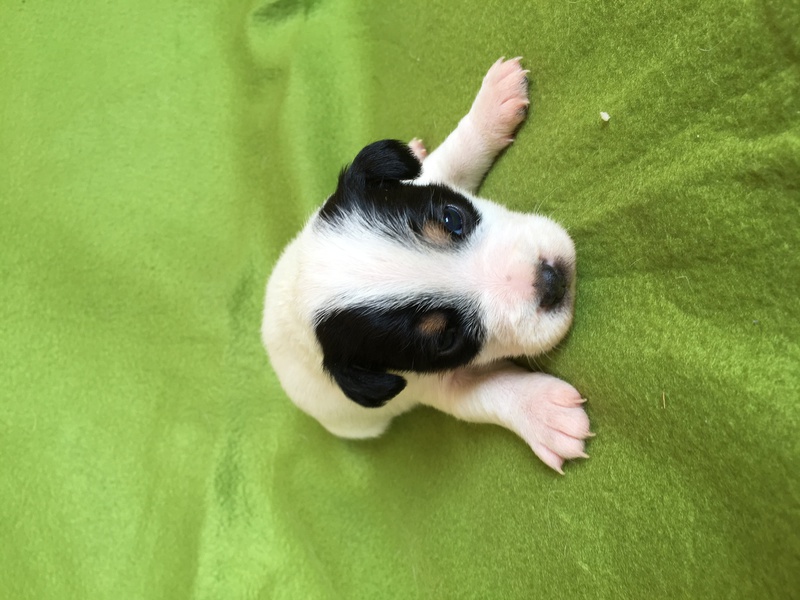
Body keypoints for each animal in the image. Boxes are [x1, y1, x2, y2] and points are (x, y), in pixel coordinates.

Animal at [262, 58, 591, 473]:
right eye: (446, 340)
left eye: (453, 218)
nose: (552, 280)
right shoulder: (429, 383)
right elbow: (485, 393)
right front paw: (546, 415)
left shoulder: (432, 180)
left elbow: (455, 157)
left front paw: (492, 102)